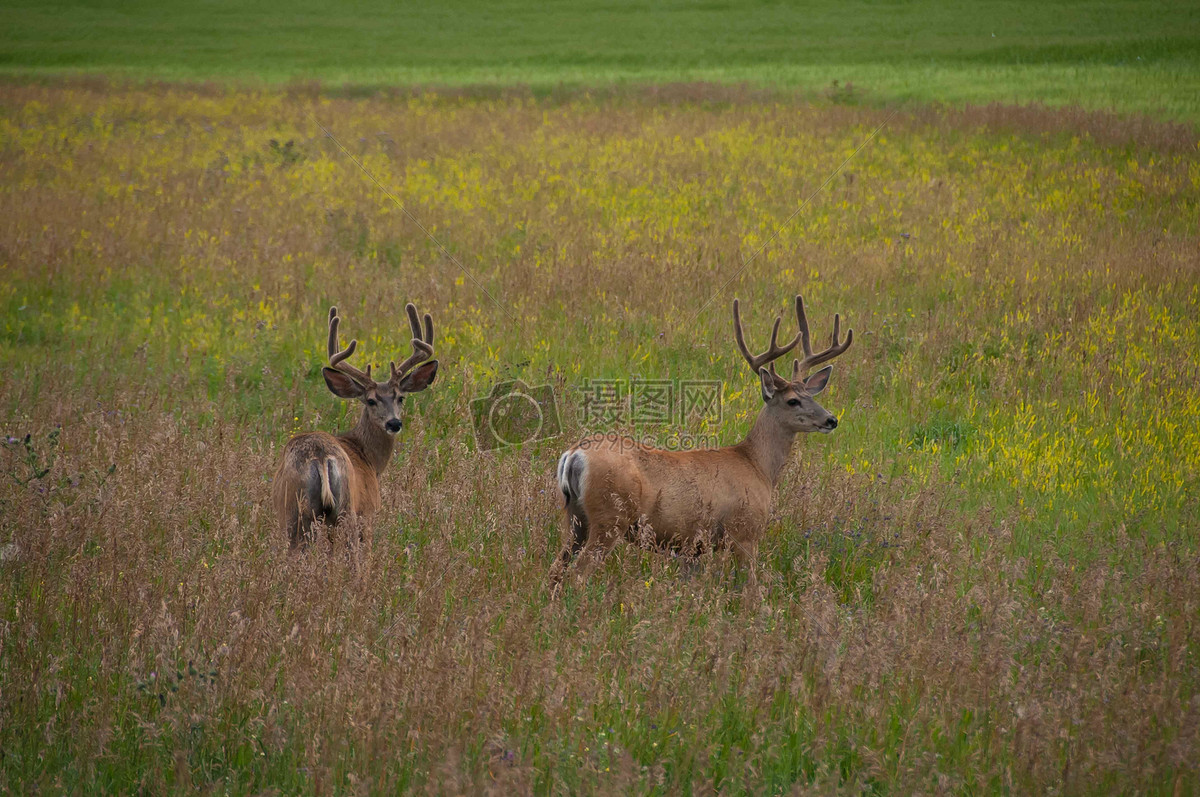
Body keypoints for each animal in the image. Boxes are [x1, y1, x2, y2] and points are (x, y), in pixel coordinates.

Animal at [273, 300, 441, 547]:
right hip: (347, 509)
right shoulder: (369, 509)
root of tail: (321, 456)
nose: (394, 423)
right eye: (371, 400)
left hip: (294, 512)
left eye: (401, 397)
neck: (369, 458)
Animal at [552, 295, 854, 595]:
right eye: (793, 401)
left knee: (557, 569)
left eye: (812, 396)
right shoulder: (745, 531)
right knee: (578, 574)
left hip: (575, 518)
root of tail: (573, 455)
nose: (831, 419)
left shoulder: (692, 546)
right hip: (609, 517)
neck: (758, 466)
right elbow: (750, 588)